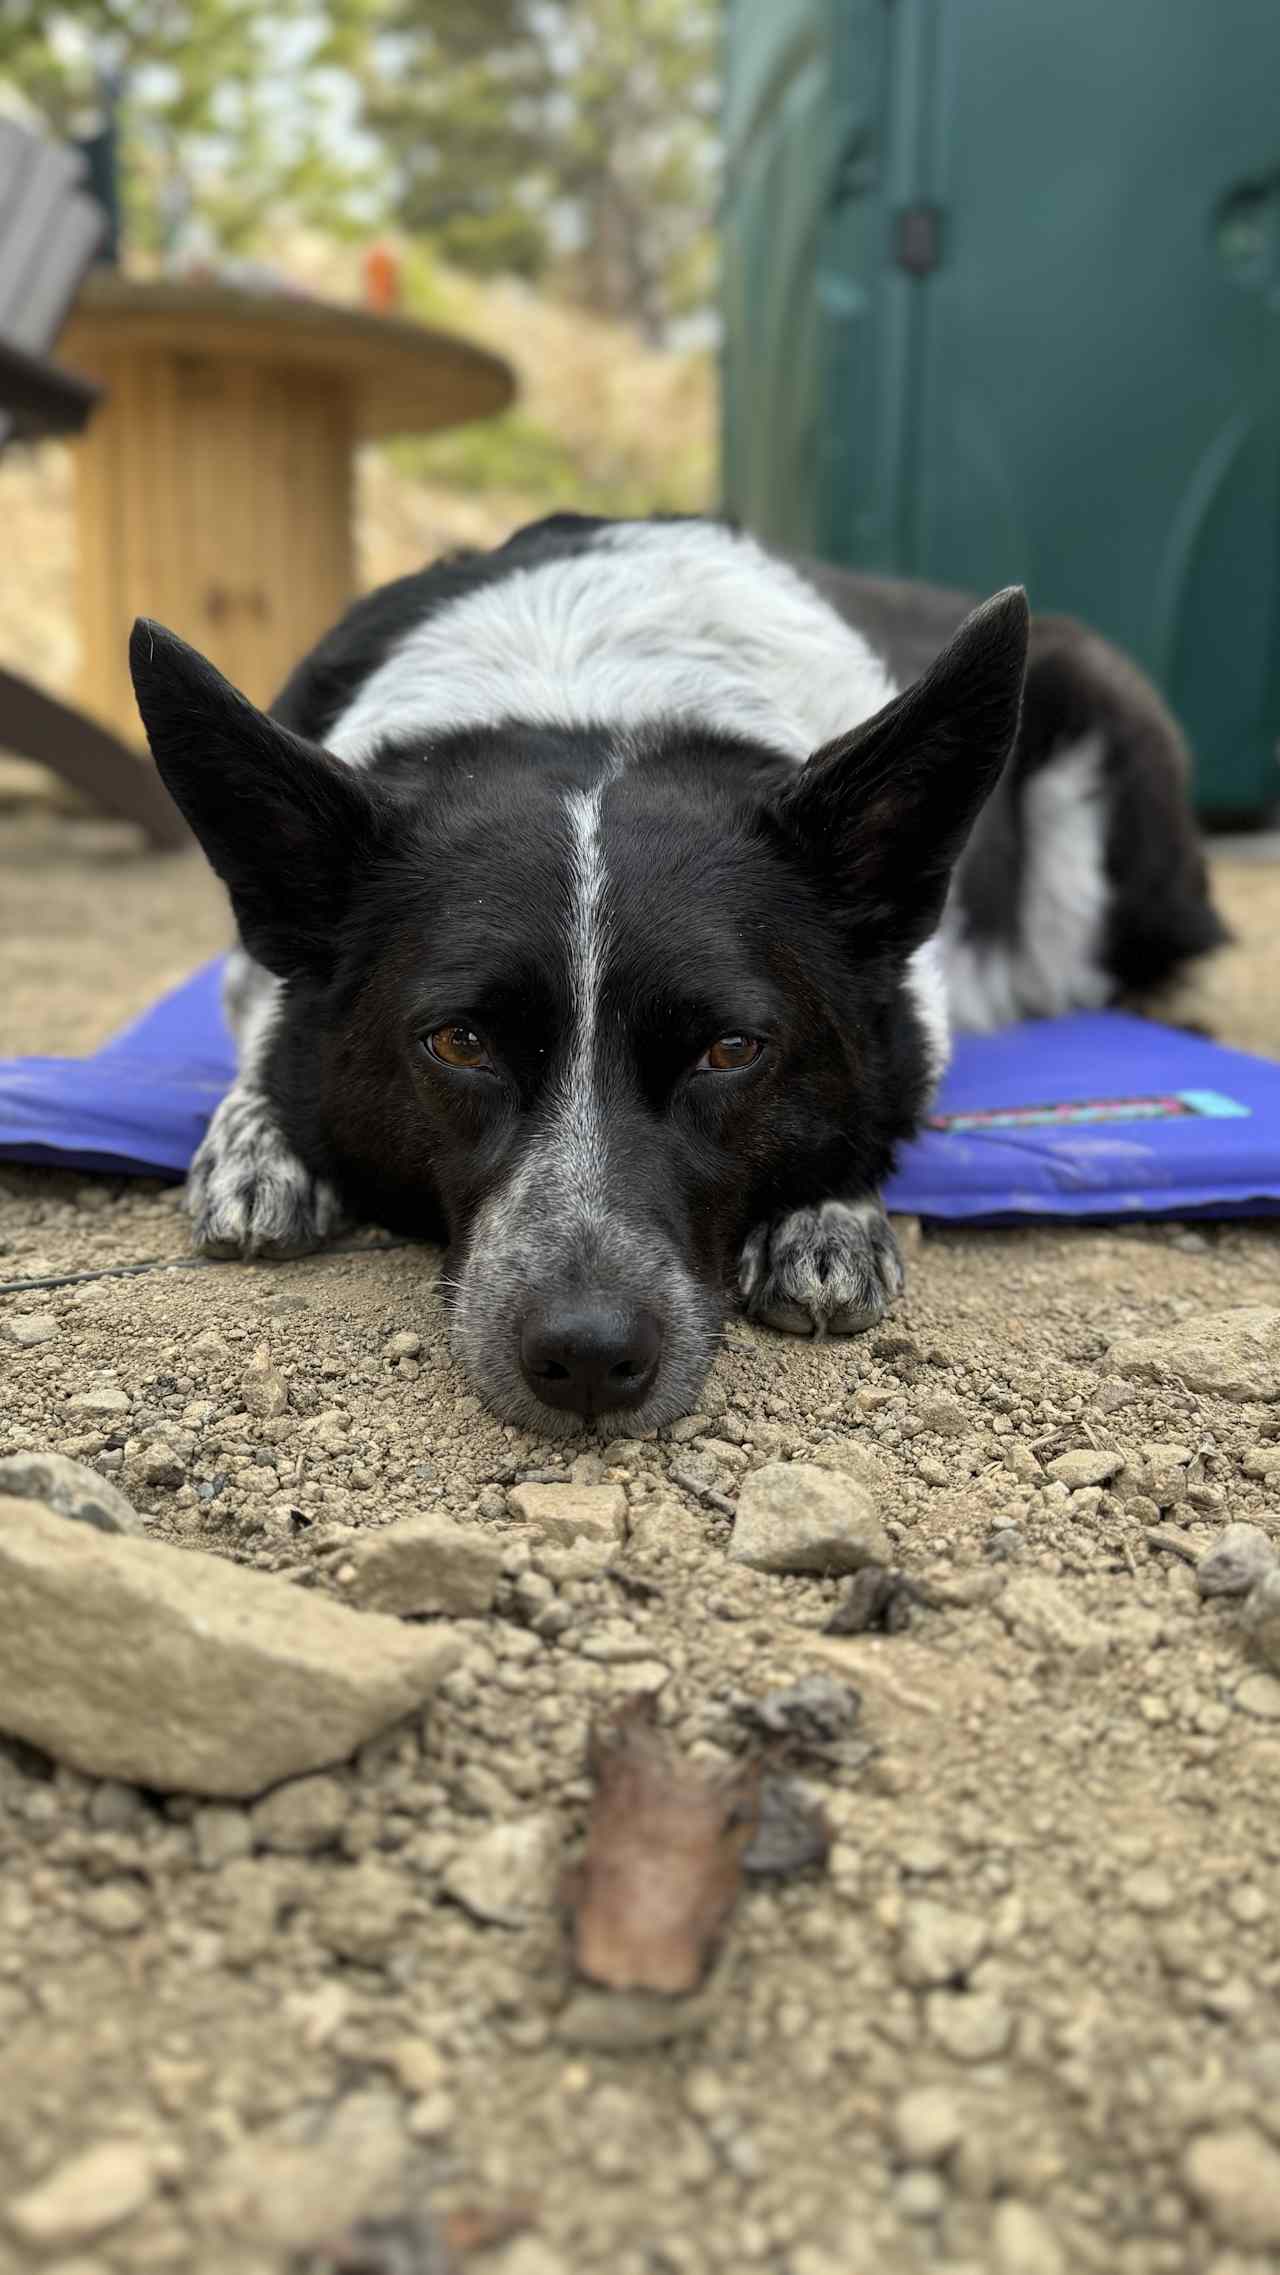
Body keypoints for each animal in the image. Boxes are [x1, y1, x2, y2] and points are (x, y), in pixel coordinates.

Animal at [133, 523, 1227, 1428]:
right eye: (460, 1042)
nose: (585, 1358)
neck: (585, 691)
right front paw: (258, 1144)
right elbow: (264, 1053)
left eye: (730, 1050)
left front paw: (825, 1214)